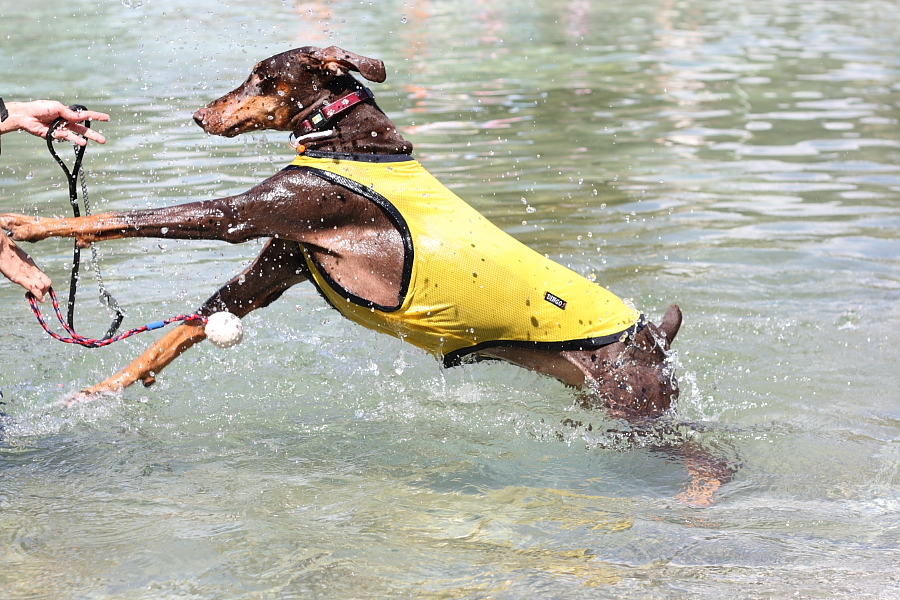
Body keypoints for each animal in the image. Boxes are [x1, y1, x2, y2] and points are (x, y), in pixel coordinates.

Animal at [1, 45, 684, 418]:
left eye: (261, 76)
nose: (198, 115)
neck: (346, 138)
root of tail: (655, 336)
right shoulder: (277, 265)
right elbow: (176, 334)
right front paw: (96, 392)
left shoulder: (254, 212)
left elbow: (127, 217)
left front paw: (28, 224)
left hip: (636, 399)